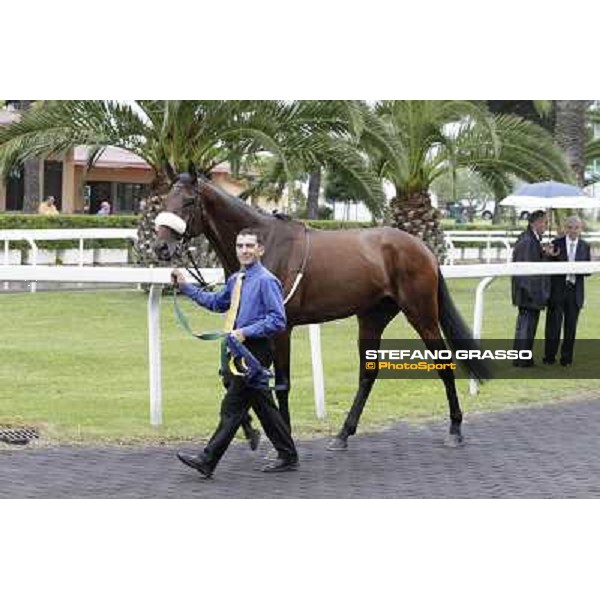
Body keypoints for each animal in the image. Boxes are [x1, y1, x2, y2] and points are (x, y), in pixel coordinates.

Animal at [152, 171, 490, 448]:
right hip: (372, 318)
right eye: (165, 199)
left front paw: (282, 438)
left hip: (421, 314)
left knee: (443, 364)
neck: (264, 245)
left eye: (189, 201)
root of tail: (423, 249)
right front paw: (251, 431)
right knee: (368, 374)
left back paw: (455, 429)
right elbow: (231, 376)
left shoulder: (281, 328)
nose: (161, 247)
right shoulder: (247, 327)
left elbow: (282, 384)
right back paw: (343, 434)